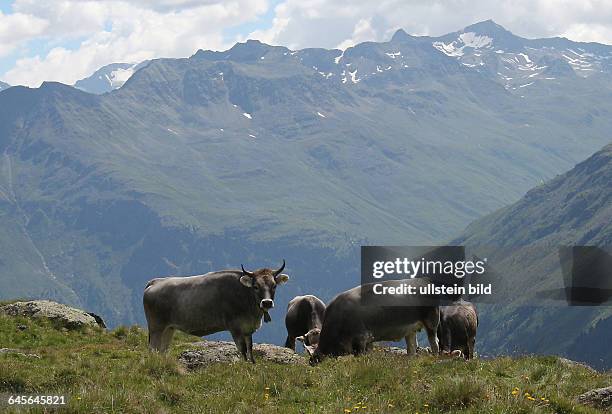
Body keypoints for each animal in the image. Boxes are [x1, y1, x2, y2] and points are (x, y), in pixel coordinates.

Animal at [143, 262, 290, 362]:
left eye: (274, 286)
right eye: (255, 286)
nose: (267, 302)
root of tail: (155, 282)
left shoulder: (248, 329)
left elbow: (250, 349)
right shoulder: (235, 328)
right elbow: (242, 350)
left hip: (169, 329)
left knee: (162, 350)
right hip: (156, 328)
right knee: (152, 350)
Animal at [308, 278, 442, 362]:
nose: (311, 361)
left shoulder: (361, 338)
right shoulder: (368, 340)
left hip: (432, 320)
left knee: (434, 342)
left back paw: (435, 358)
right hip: (410, 330)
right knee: (412, 348)